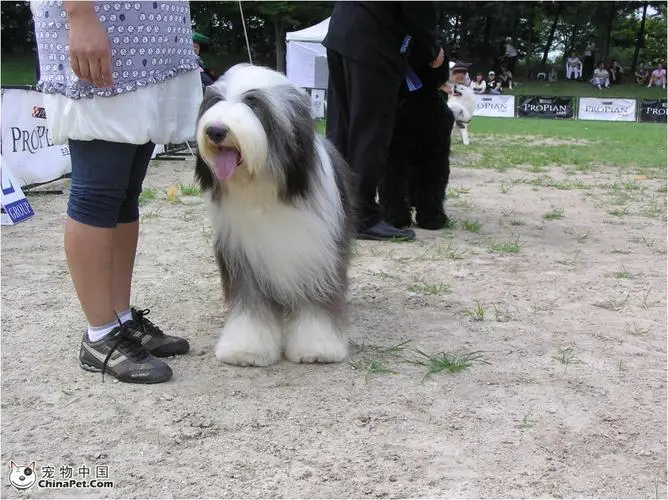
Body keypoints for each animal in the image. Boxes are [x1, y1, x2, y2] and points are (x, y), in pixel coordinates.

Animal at [196, 63, 358, 368]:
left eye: (254, 104)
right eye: (215, 101)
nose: (215, 130)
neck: (264, 190)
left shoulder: (317, 256)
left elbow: (315, 304)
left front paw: (317, 348)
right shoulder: (242, 256)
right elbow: (250, 307)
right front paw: (246, 349)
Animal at [378, 34, 456, 230]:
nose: (431, 47)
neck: (419, 100)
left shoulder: (435, 154)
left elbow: (432, 186)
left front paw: (433, 217)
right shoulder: (394, 154)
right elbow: (392, 183)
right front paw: (396, 217)